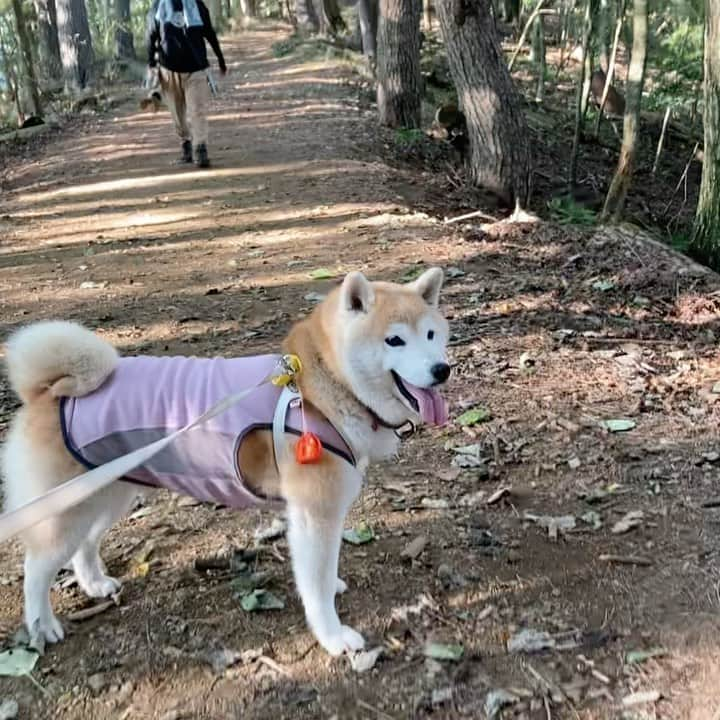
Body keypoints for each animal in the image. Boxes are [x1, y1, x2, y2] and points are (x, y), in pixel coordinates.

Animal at [0, 268, 450, 656]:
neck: (318, 387)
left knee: (85, 544)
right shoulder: (314, 513)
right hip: (69, 510)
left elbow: (324, 570)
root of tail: (47, 391)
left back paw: (94, 584)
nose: (441, 369)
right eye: (394, 341)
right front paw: (333, 636)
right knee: (37, 567)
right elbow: (316, 582)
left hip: (109, 494)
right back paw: (42, 625)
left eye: (431, 335)